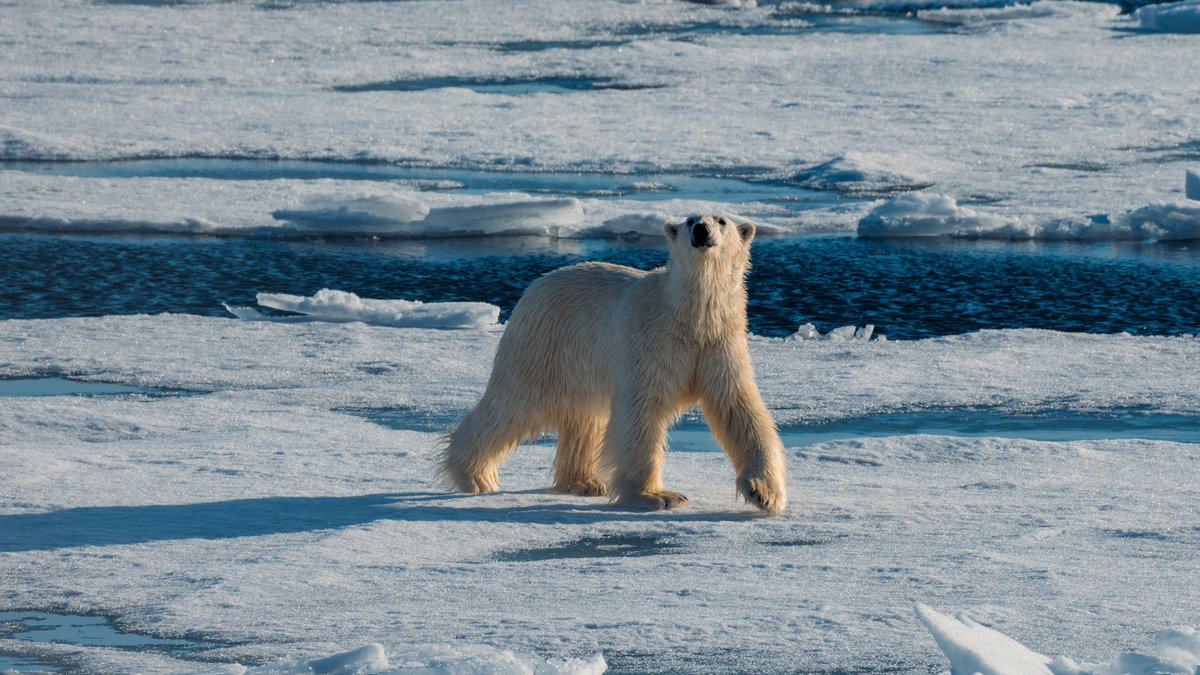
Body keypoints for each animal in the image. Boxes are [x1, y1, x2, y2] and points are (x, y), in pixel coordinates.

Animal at [439, 213, 787, 514]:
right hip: (544, 345)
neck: (688, 318)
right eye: (689, 220)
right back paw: (472, 476)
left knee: (584, 418)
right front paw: (655, 496)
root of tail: (533, 287)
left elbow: (738, 409)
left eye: (721, 220)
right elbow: (641, 410)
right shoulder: (651, 343)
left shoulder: (719, 345)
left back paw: (584, 482)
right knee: (513, 404)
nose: (701, 230)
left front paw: (764, 493)